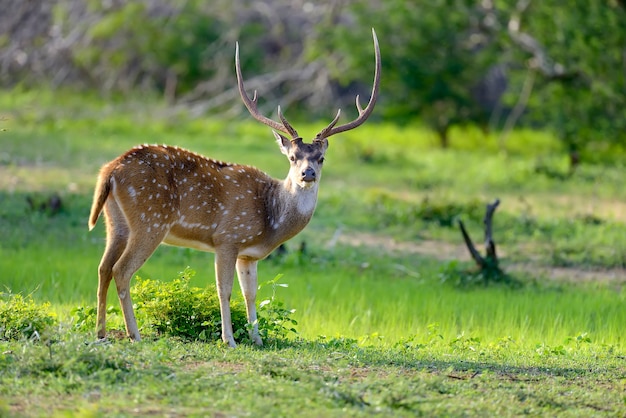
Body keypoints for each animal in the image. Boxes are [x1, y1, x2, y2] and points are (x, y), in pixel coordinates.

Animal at [88, 29, 380, 348]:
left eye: (321, 158)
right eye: (292, 157)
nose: (308, 173)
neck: (270, 218)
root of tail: (110, 169)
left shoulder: (247, 253)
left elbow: (250, 293)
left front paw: (257, 338)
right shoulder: (227, 237)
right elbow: (224, 290)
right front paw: (229, 339)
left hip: (115, 220)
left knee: (103, 267)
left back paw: (101, 332)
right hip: (150, 219)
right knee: (121, 270)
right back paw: (134, 334)